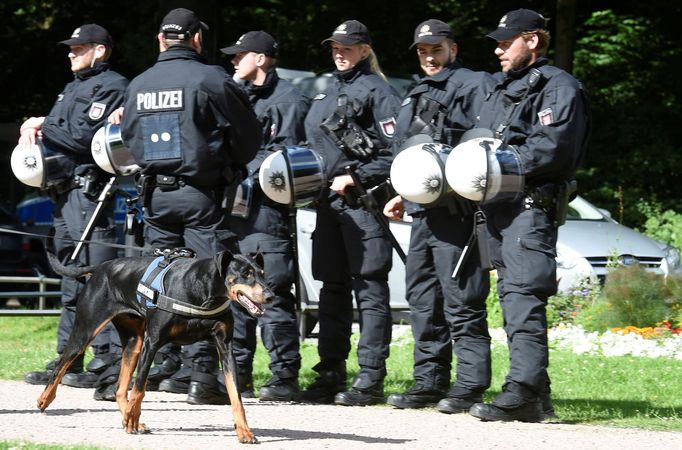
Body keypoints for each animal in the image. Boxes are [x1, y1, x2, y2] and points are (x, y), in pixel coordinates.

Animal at [36, 248, 270, 444]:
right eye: (245, 274)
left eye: (262, 273)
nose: (270, 295)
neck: (204, 293)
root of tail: (102, 267)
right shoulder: (153, 342)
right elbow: (139, 387)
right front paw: (132, 418)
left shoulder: (225, 347)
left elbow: (236, 397)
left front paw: (244, 431)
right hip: (87, 330)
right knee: (61, 364)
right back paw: (44, 399)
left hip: (133, 342)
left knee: (120, 389)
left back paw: (128, 416)